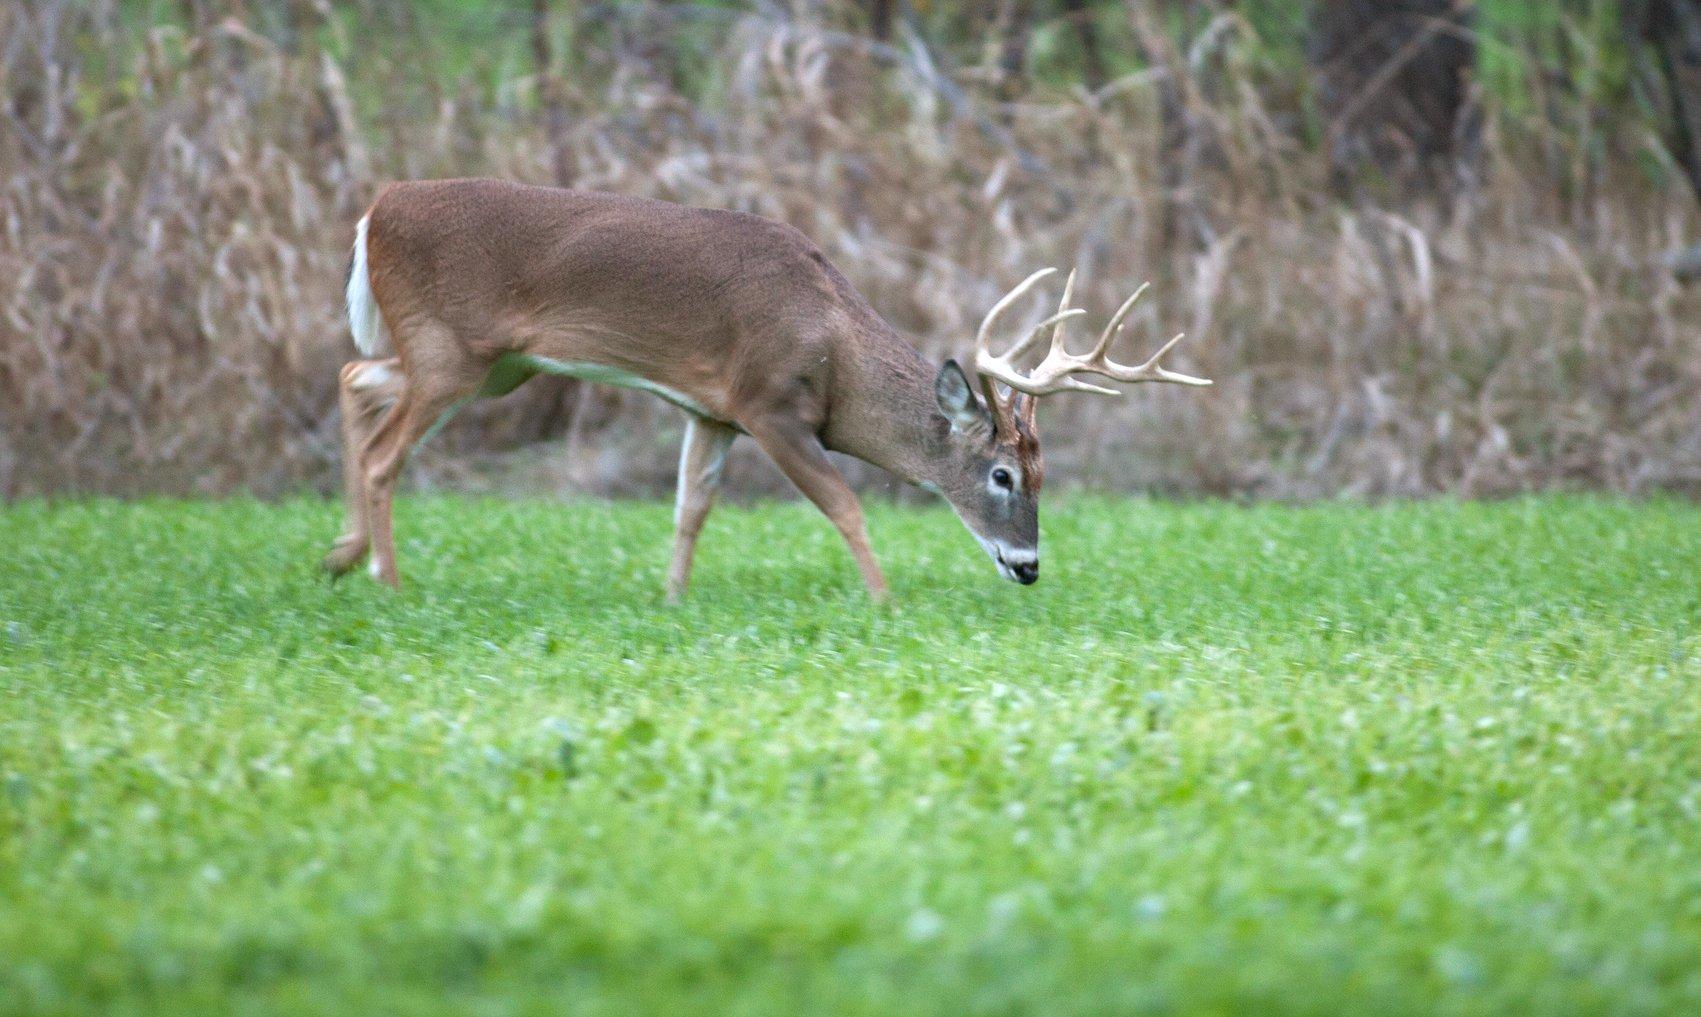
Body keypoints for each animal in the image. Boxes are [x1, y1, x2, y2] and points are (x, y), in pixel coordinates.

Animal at [324, 179, 1211, 602]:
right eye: (999, 474)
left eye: (1041, 474)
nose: (1026, 567)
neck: (832, 338)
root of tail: (375, 209)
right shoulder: (768, 403)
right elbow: (844, 503)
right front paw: (885, 602)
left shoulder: (706, 408)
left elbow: (690, 508)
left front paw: (671, 599)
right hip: (453, 350)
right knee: (384, 451)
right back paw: (386, 580)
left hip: (491, 364)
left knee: (355, 375)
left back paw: (340, 554)